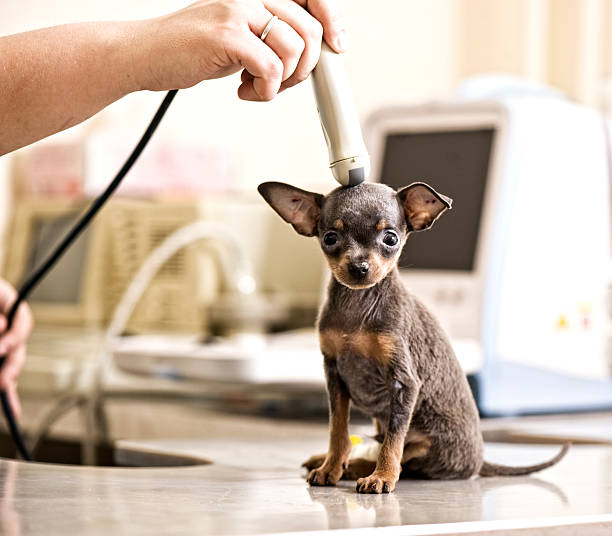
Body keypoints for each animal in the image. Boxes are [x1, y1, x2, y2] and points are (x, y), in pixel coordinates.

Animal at [258, 180, 568, 494]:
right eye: (330, 238)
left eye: (390, 239)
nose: (359, 267)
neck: (357, 307)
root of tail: (480, 461)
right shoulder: (334, 375)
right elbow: (338, 430)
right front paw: (330, 467)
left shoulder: (404, 383)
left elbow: (393, 442)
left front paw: (381, 477)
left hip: (426, 449)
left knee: (404, 460)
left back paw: (361, 468)